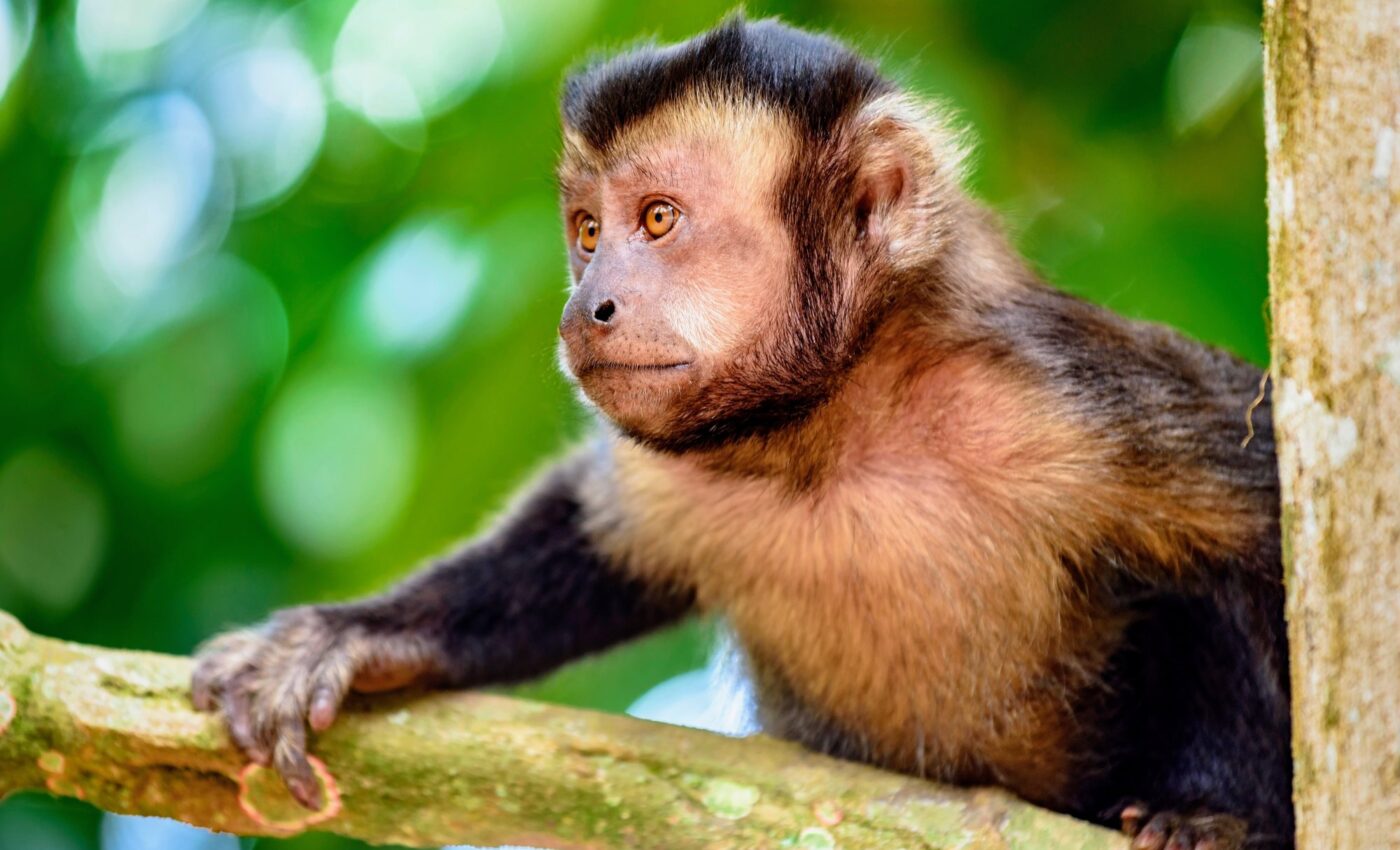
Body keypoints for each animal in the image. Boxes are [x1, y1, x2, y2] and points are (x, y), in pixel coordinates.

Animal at [191, 17, 1291, 850]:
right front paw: (359, 635)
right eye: (587, 232)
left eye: (658, 219)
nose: (583, 307)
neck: (830, 430)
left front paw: (1223, 815)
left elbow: (1265, 521)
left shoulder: (1058, 397)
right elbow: (591, 536)